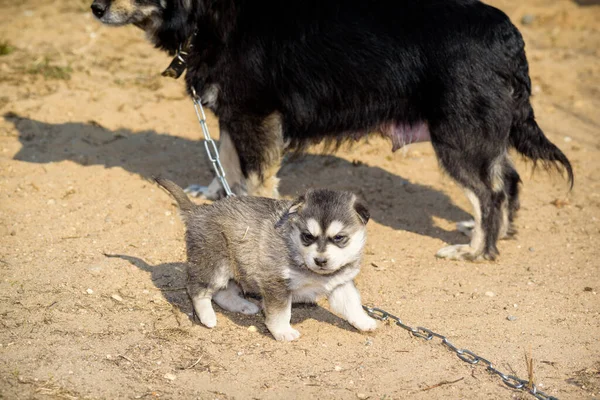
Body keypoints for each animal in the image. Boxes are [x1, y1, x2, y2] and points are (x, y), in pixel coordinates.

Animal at [90, 0, 572, 260]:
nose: (95, 7)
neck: (206, 12)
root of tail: (509, 34)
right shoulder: (233, 112)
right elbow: (224, 159)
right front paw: (216, 195)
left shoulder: (255, 114)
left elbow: (254, 177)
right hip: (483, 132)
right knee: (507, 180)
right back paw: (494, 233)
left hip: (458, 136)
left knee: (489, 193)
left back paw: (476, 250)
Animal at [155, 178, 376, 340]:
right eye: (307, 236)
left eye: (339, 238)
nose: (320, 261)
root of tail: (198, 211)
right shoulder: (276, 284)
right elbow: (281, 313)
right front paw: (283, 332)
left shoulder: (341, 284)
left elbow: (352, 305)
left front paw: (364, 321)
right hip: (213, 264)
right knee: (197, 290)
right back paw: (208, 317)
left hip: (236, 269)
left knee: (221, 293)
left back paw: (243, 305)